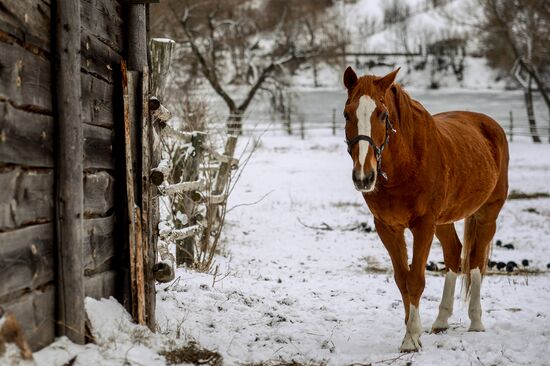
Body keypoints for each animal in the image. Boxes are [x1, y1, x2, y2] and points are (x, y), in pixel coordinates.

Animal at [342, 67, 512, 354]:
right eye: (346, 114)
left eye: (383, 115)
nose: (364, 177)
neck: (406, 163)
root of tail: (490, 125)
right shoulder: (387, 227)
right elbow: (403, 279)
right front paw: (414, 331)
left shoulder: (423, 226)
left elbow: (416, 280)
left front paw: (411, 338)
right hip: (443, 221)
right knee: (454, 254)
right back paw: (441, 320)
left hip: (487, 214)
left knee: (476, 261)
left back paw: (476, 321)